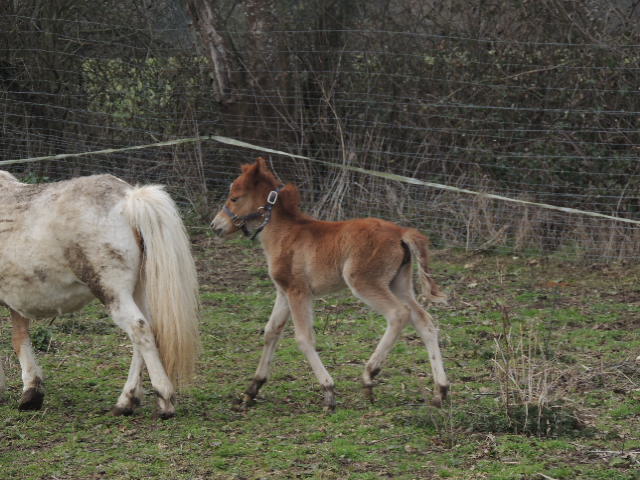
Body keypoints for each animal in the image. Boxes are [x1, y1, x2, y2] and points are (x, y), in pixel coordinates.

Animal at [0, 171, 199, 418]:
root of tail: (130, 198)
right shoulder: (15, 299)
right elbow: (20, 339)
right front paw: (31, 392)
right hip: (137, 290)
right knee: (145, 331)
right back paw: (127, 400)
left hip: (113, 292)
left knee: (139, 329)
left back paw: (164, 399)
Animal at [211, 158, 450, 408]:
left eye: (235, 198)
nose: (215, 225)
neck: (285, 233)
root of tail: (401, 231)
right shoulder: (284, 292)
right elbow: (271, 332)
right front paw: (252, 389)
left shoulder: (298, 291)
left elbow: (304, 338)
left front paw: (328, 391)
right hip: (399, 284)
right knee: (424, 320)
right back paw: (440, 391)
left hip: (364, 282)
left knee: (399, 314)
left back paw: (369, 375)